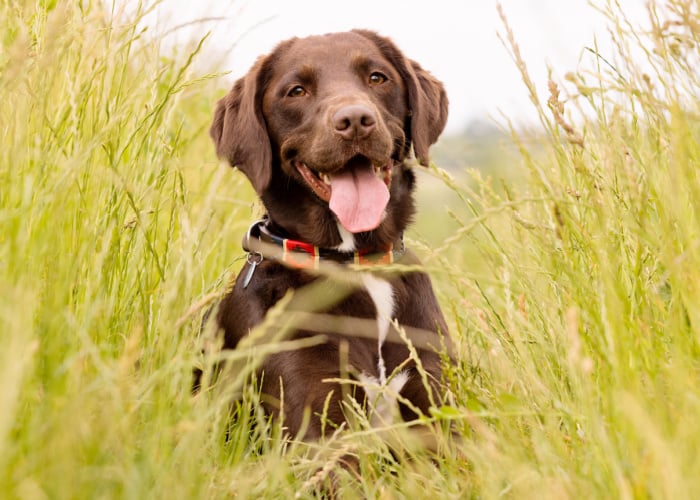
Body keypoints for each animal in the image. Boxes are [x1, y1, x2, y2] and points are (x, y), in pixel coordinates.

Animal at [208, 30, 448, 442]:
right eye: (296, 90)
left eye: (377, 78)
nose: (355, 120)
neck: (356, 263)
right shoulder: (315, 428)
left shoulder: (438, 407)